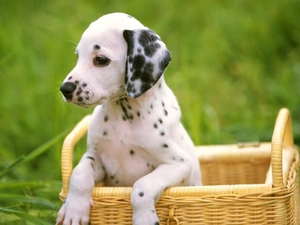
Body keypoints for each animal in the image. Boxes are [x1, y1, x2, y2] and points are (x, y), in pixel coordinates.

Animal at [56, 12, 202, 225]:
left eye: (101, 60)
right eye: (77, 56)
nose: (65, 89)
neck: (125, 117)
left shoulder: (179, 164)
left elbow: (142, 186)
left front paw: (144, 218)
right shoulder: (97, 158)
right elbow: (79, 173)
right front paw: (74, 209)